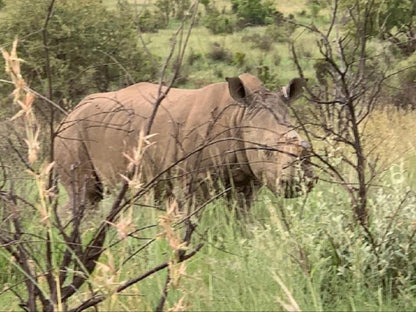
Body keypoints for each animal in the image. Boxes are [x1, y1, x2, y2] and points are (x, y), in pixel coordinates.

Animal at [55, 73, 316, 210]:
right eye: (265, 150)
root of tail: (70, 112)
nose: (298, 184)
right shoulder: (192, 181)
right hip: (72, 132)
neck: (239, 116)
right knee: (86, 197)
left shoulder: (247, 179)